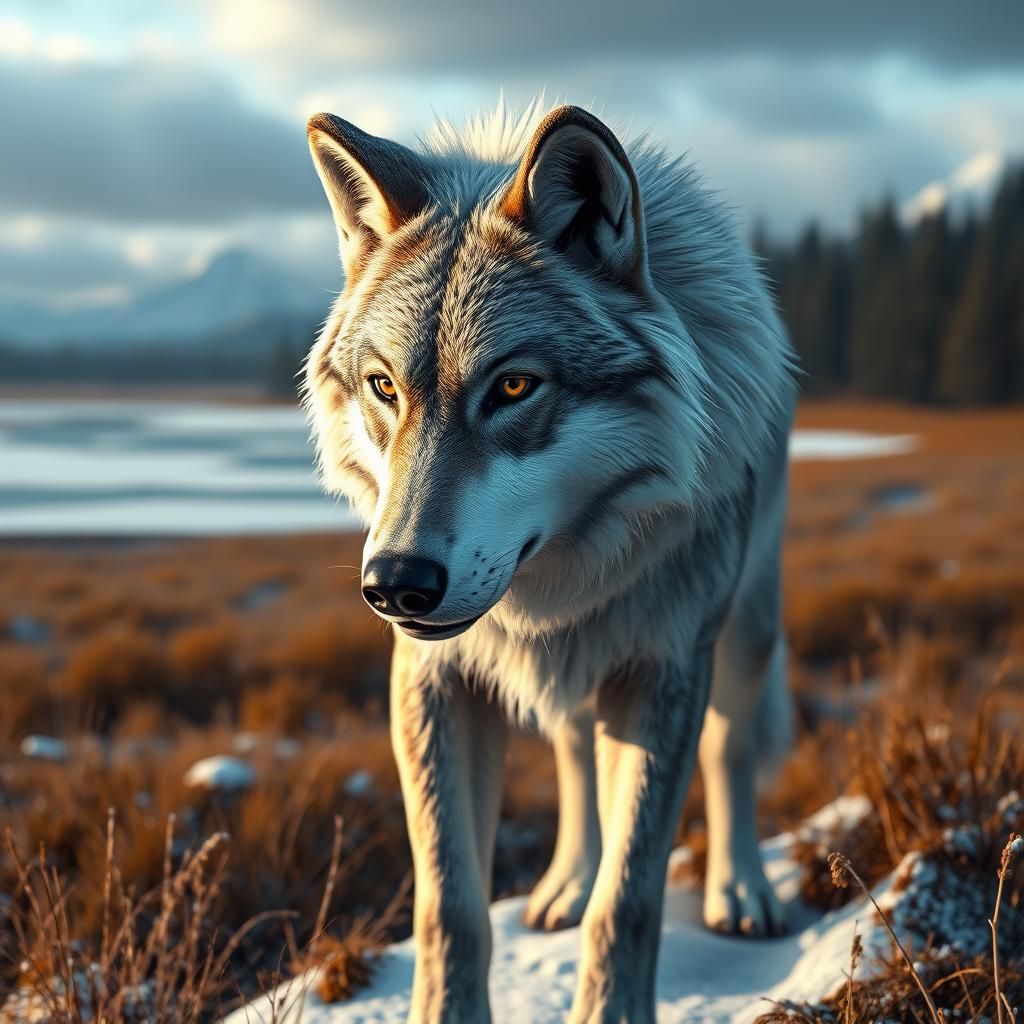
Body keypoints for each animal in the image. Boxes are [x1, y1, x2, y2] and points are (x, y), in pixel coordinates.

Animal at [304, 99, 797, 1023]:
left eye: (512, 387)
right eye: (386, 388)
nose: (396, 586)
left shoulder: (662, 669)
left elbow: (628, 901)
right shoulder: (432, 682)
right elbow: (450, 908)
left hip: (746, 630)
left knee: (733, 752)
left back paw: (741, 893)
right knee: (571, 750)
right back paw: (566, 882)